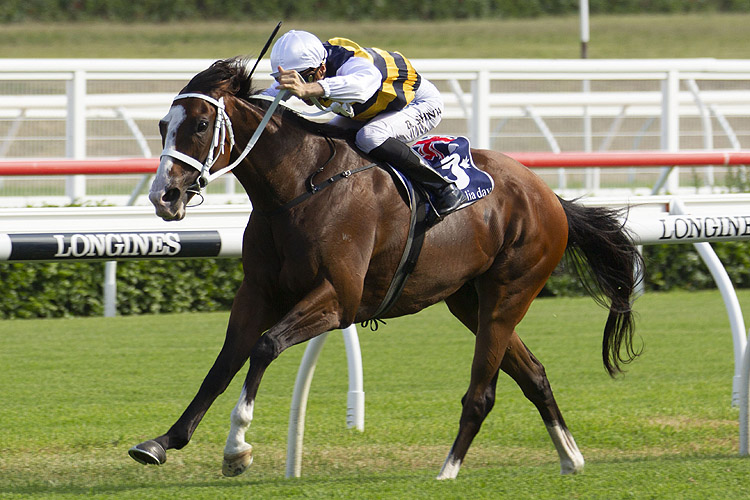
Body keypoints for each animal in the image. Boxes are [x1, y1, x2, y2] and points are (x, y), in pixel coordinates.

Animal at [131, 58, 648, 480]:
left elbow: (264, 347)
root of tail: (548, 196)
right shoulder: (258, 292)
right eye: (162, 124)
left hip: (510, 292)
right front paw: (162, 442)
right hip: (469, 299)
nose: (164, 197)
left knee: (482, 393)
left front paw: (237, 449)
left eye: (201, 125)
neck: (299, 188)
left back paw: (447, 472)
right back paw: (570, 459)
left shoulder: (338, 298)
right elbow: (222, 364)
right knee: (534, 374)